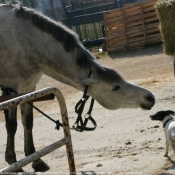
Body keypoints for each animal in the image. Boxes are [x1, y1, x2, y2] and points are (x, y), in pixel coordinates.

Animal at [0, 3, 155, 172]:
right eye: (115, 87)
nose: (150, 98)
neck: (25, 41)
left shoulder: (29, 88)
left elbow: (28, 122)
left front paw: (36, 160)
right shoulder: (11, 90)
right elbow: (12, 126)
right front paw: (14, 163)